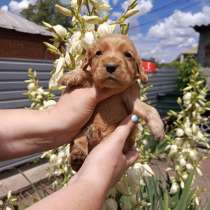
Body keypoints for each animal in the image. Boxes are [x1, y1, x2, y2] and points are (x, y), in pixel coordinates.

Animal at [59, 34, 164, 171]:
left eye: (128, 55)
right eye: (98, 53)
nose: (110, 66)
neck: (110, 88)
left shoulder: (131, 98)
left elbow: (149, 109)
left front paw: (158, 129)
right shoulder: (93, 82)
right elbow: (88, 73)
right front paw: (72, 74)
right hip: (82, 130)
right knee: (79, 140)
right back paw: (78, 156)